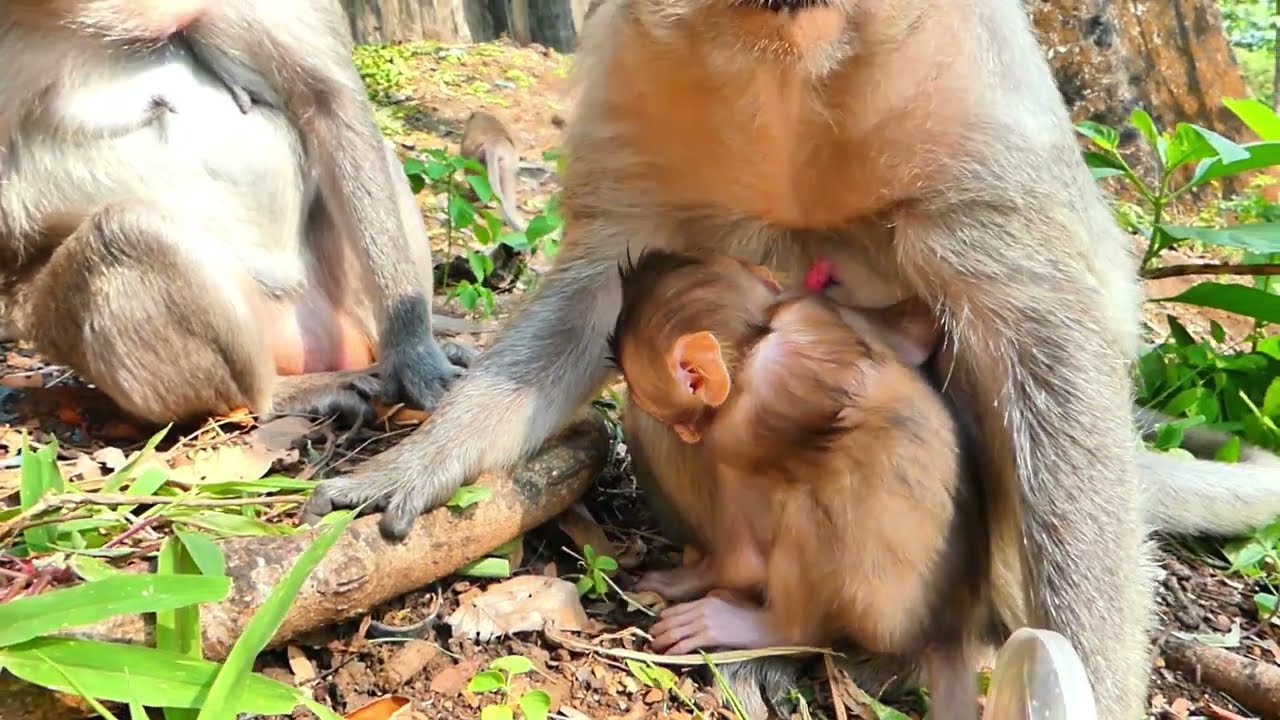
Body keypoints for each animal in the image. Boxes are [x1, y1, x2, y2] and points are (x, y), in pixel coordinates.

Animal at [303, 3, 1280, 717]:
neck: (788, 61)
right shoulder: (632, 74)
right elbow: (597, 293)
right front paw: (415, 465)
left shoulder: (979, 86)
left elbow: (1049, 343)